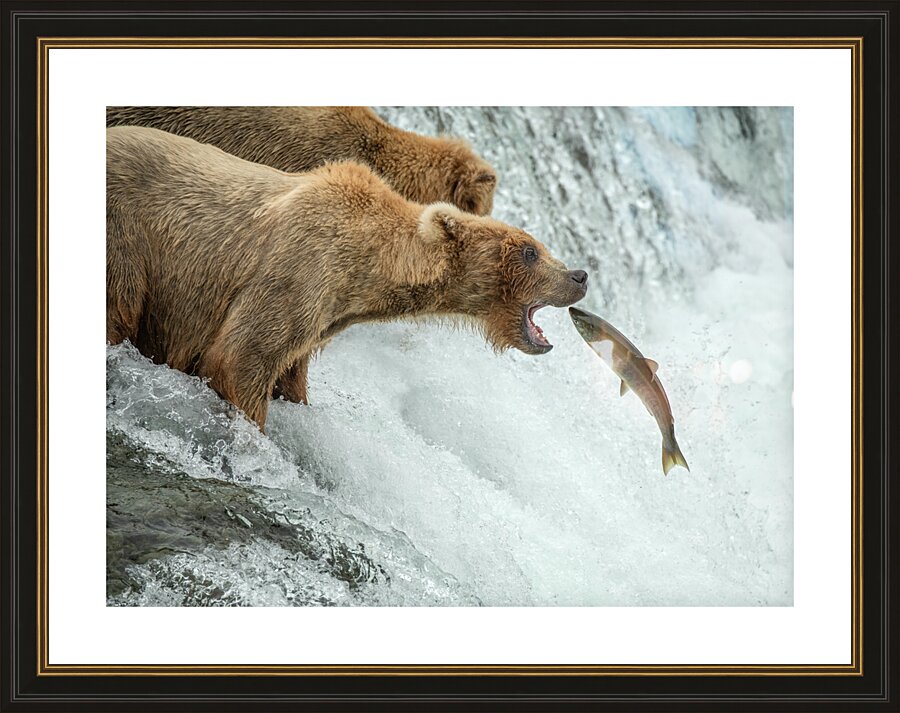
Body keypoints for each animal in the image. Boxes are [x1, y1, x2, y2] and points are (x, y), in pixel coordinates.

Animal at [107, 126, 588, 431]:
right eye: (530, 251)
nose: (580, 275)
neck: (366, 270)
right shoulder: (297, 272)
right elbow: (240, 358)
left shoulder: (321, 315)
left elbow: (288, 372)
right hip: (126, 241)